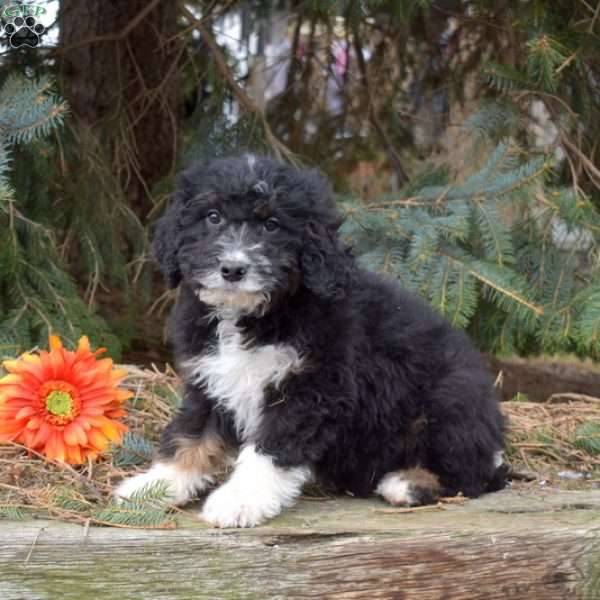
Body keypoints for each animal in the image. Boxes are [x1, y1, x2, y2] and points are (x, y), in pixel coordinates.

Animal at [113, 156, 506, 528]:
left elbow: (269, 450)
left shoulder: (311, 389)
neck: (257, 315)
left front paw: (239, 501)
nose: (233, 269)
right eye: (213, 217)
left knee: (472, 475)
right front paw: (153, 487)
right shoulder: (211, 381)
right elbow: (189, 436)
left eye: (272, 225)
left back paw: (407, 483)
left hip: (449, 400)